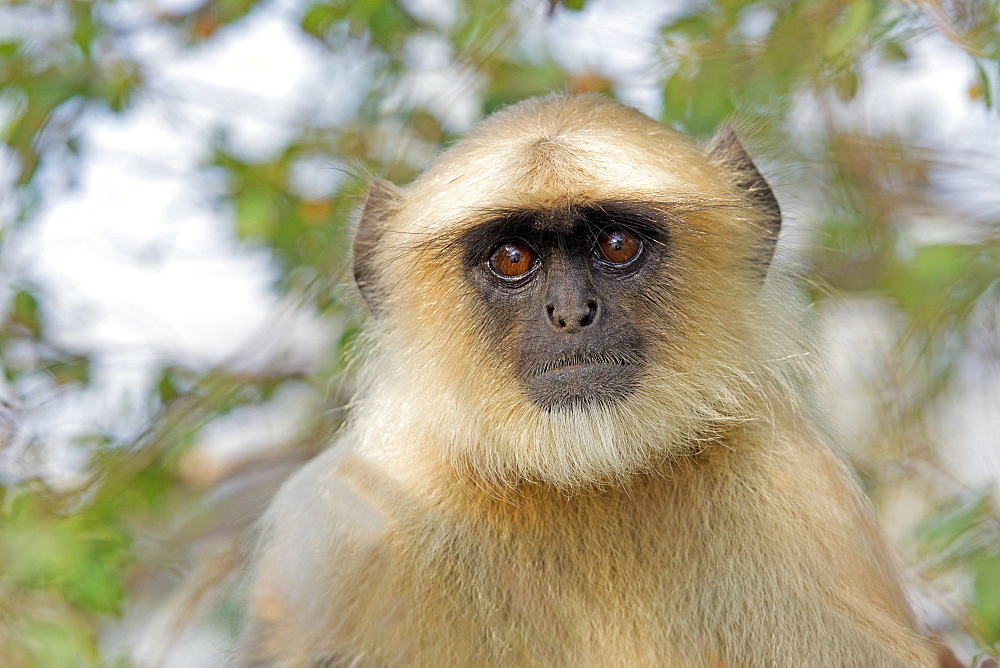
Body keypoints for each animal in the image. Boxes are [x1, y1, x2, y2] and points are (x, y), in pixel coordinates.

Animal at [238, 95, 940, 668]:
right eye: (512, 258)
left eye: (618, 244)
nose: (572, 313)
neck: (580, 480)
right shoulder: (349, 530)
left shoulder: (799, 494)